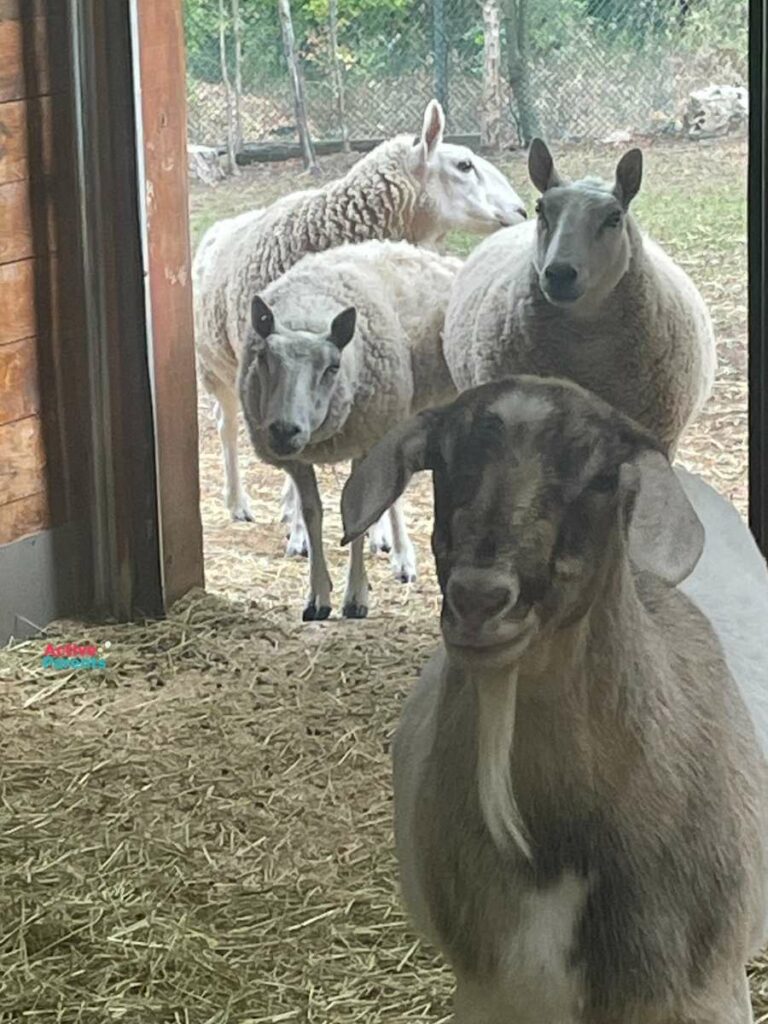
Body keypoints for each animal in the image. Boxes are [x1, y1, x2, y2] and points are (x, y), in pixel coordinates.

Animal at [192, 97, 528, 552]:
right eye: (463, 165)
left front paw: (378, 535)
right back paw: (239, 502)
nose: (522, 210)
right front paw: (302, 535)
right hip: (216, 367)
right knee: (226, 426)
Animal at [237, 239, 462, 618]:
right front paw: (318, 597)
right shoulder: (298, 461)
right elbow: (312, 513)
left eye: (332, 367)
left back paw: (404, 558)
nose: (284, 430)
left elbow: (357, 512)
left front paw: (355, 597)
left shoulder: (366, 440)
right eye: (264, 359)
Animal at [342, 376, 768, 1024]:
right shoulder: (489, 995)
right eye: (441, 460)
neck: (552, 847)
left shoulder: (708, 995)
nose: (478, 600)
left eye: (601, 478)